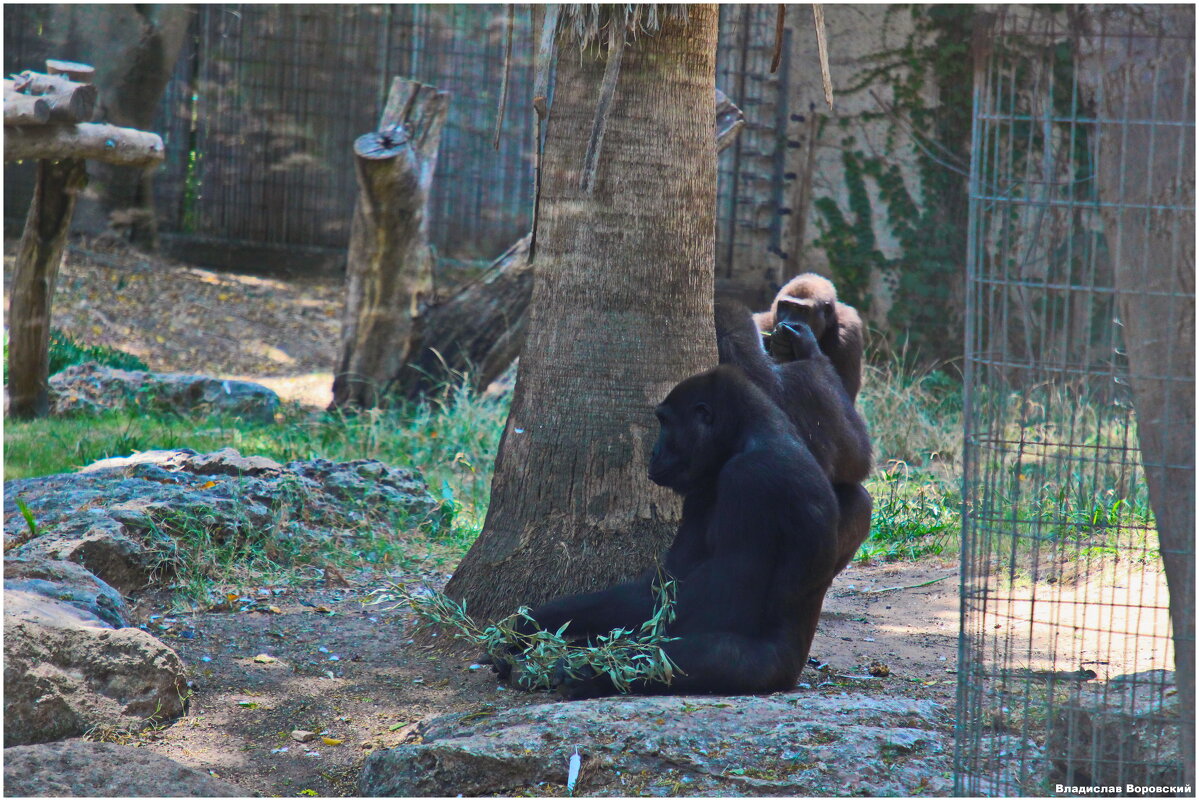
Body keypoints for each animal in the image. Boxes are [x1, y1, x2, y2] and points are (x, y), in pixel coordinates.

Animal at [510, 366, 839, 695]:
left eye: (666, 422)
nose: (653, 452)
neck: (745, 435)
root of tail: (793, 676)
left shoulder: (749, 478)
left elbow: (724, 605)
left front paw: (582, 658)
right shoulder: (701, 487)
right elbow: (660, 586)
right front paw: (532, 624)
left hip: (771, 672)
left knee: (703, 656)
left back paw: (586, 671)